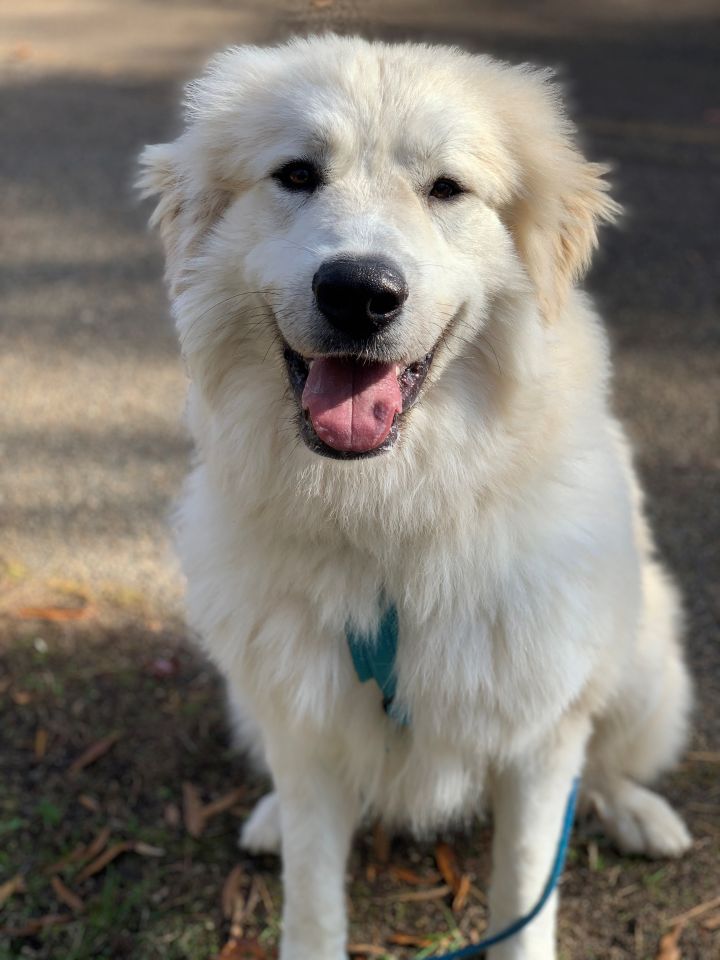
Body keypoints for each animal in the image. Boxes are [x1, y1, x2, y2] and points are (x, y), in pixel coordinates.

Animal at [139, 33, 692, 956]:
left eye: (446, 188)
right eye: (297, 174)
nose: (359, 292)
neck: (388, 509)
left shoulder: (541, 734)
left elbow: (525, 889)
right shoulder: (307, 717)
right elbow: (313, 898)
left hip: (641, 663)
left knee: (610, 763)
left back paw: (639, 812)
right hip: (254, 693)